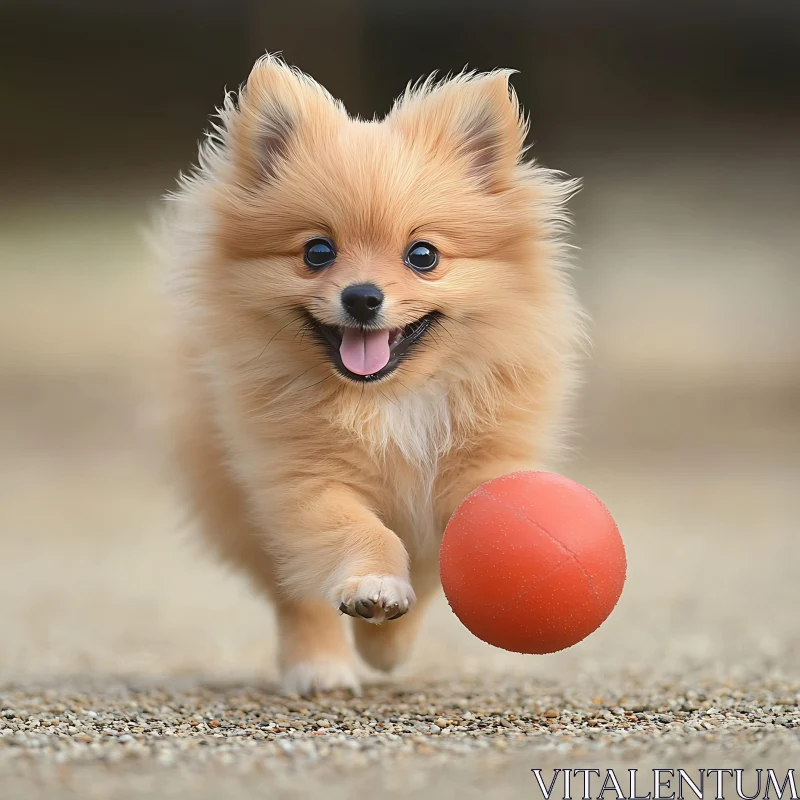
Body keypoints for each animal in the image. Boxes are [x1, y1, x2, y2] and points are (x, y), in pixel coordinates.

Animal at [159, 54, 584, 692]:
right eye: (317, 253)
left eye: (423, 256)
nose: (362, 297)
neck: (389, 400)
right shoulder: (302, 480)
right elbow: (360, 533)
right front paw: (376, 590)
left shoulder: (477, 466)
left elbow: (445, 560)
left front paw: (387, 642)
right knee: (295, 593)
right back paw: (320, 666)